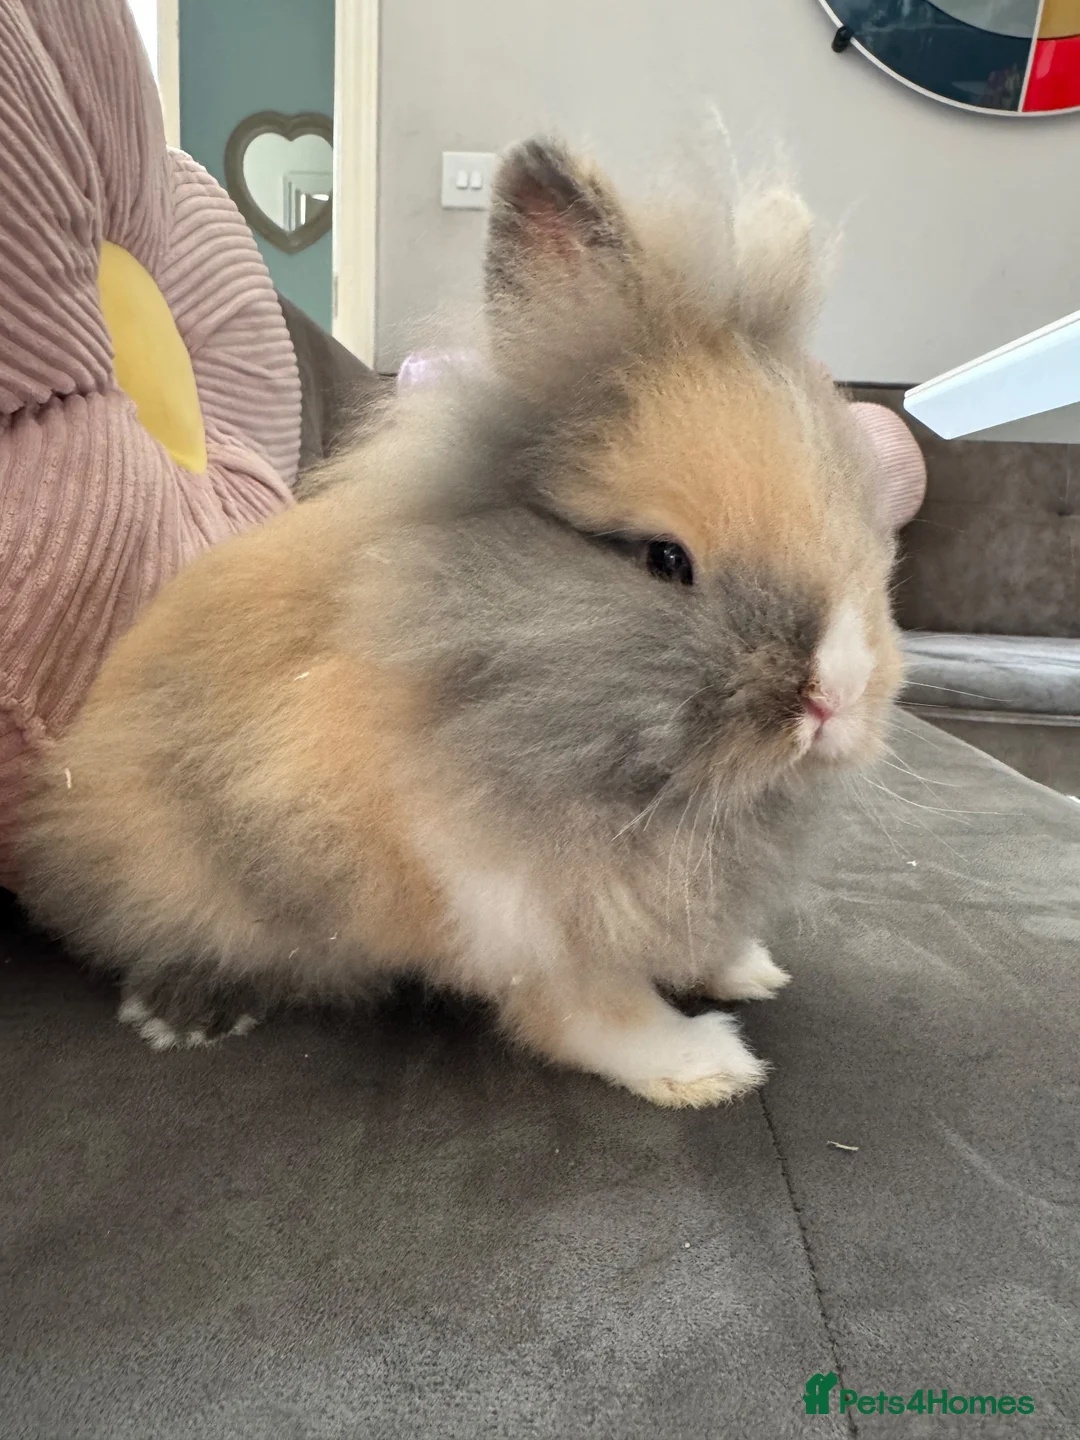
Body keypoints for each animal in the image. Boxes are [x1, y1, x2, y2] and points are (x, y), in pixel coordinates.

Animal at [17, 136, 904, 1108]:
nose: (837, 695)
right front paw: (705, 1066)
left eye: (864, 527)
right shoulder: (516, 907)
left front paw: (744, 969)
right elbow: (595, 1008)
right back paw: (183, 1014)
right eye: (664, 559)